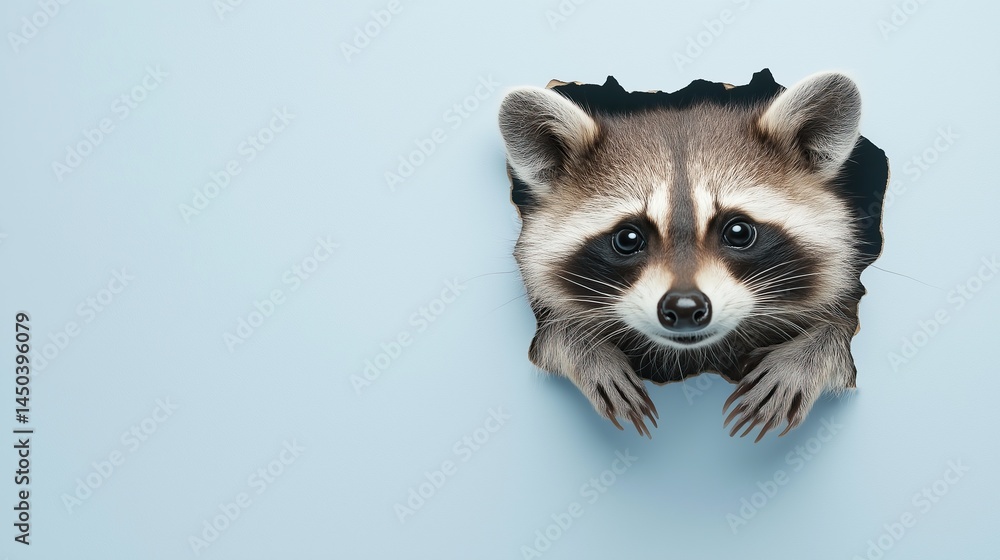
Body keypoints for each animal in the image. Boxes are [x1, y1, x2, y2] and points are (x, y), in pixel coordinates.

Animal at [498, 72, 867, 441]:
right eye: (628, 238)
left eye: (738, 232)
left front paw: (807, 354)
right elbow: (549, 337)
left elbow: (838, 332)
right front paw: (582, 348)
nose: (685, 307)